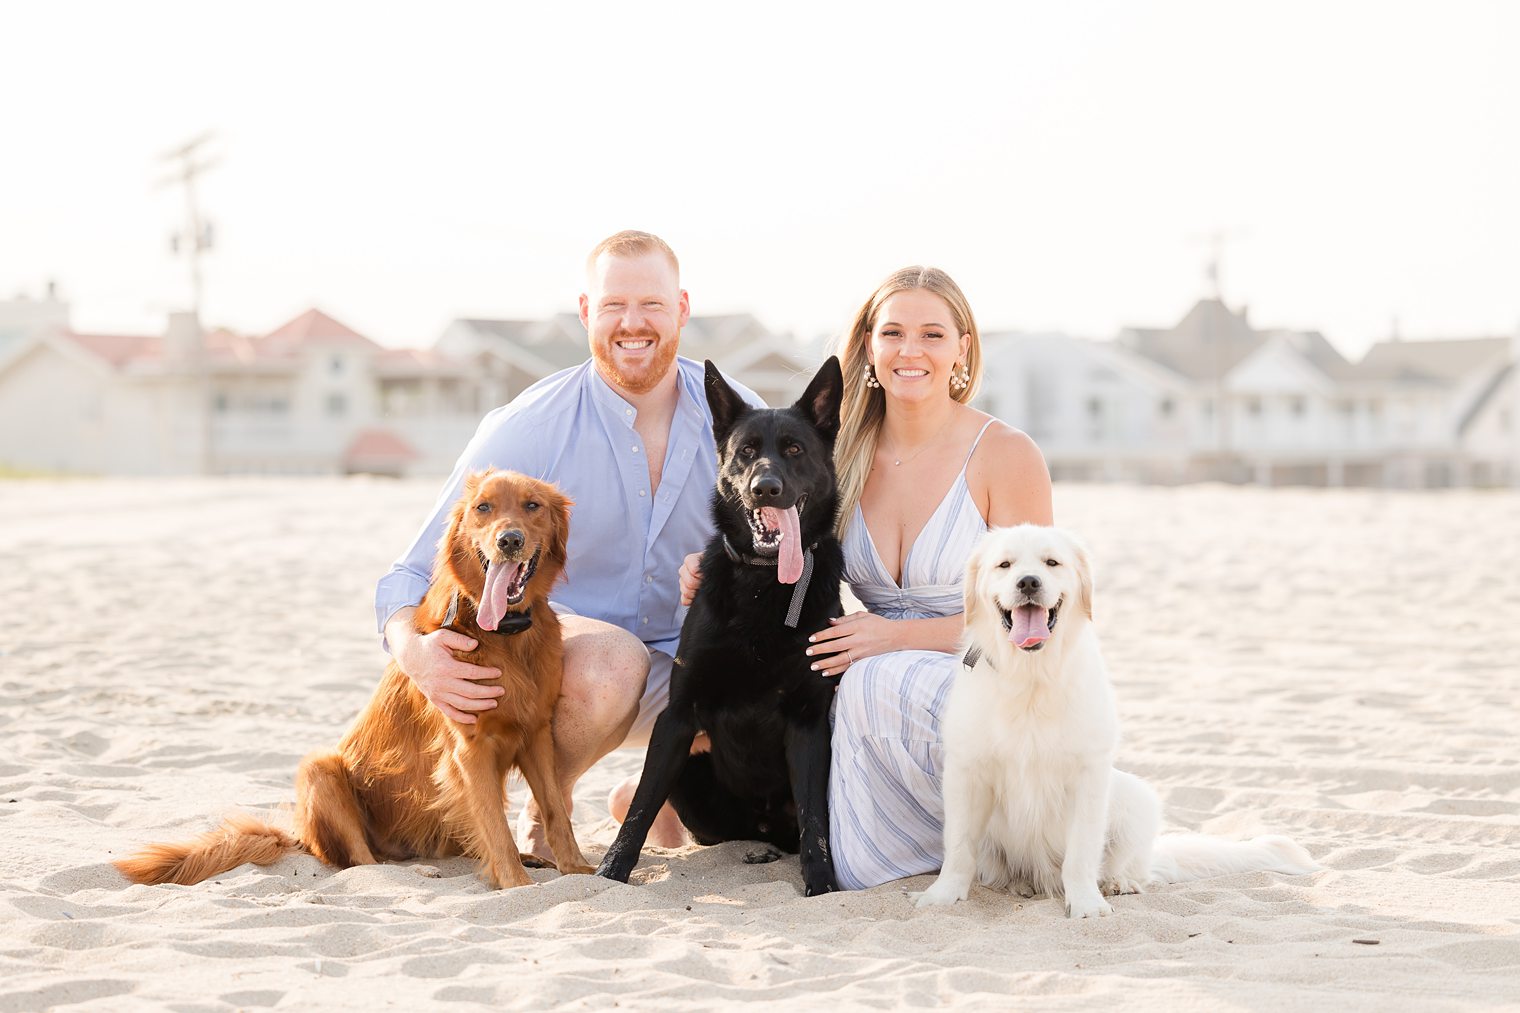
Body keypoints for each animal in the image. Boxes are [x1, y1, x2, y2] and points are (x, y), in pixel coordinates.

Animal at [115, 468, 589, 888]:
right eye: (483, 508)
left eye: (532, 506)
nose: (509, 540)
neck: (505, 636)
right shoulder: (470, 746)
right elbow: (494, 827)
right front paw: (516, 884)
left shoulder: (536, 732)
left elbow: (555, 811)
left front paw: (578, 870)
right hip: (319, 770)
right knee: (364, 864)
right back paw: (418, 871)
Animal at [592, 352, 851, 894]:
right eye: (745, 452)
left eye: (794, 449)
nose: (765, 488)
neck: (764, 584)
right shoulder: (678, 717)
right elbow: (642, 806)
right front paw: (610, 873)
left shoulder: (808, 722)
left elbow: (815, 822)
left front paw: (821, 886)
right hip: (694, 775)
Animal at [912, 520, 1319, 912]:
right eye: (1005, 565)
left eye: (1051, 563)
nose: (1028, 582)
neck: (1031, 675)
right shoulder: (966, 772)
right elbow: (959, 848)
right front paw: (942, 896)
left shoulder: (1089, 772)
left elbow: (1081, 853)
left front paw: (1086, 904)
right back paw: (1020, 885)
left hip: (1135, 797)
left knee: (1127, 865)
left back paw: (1117, 883)